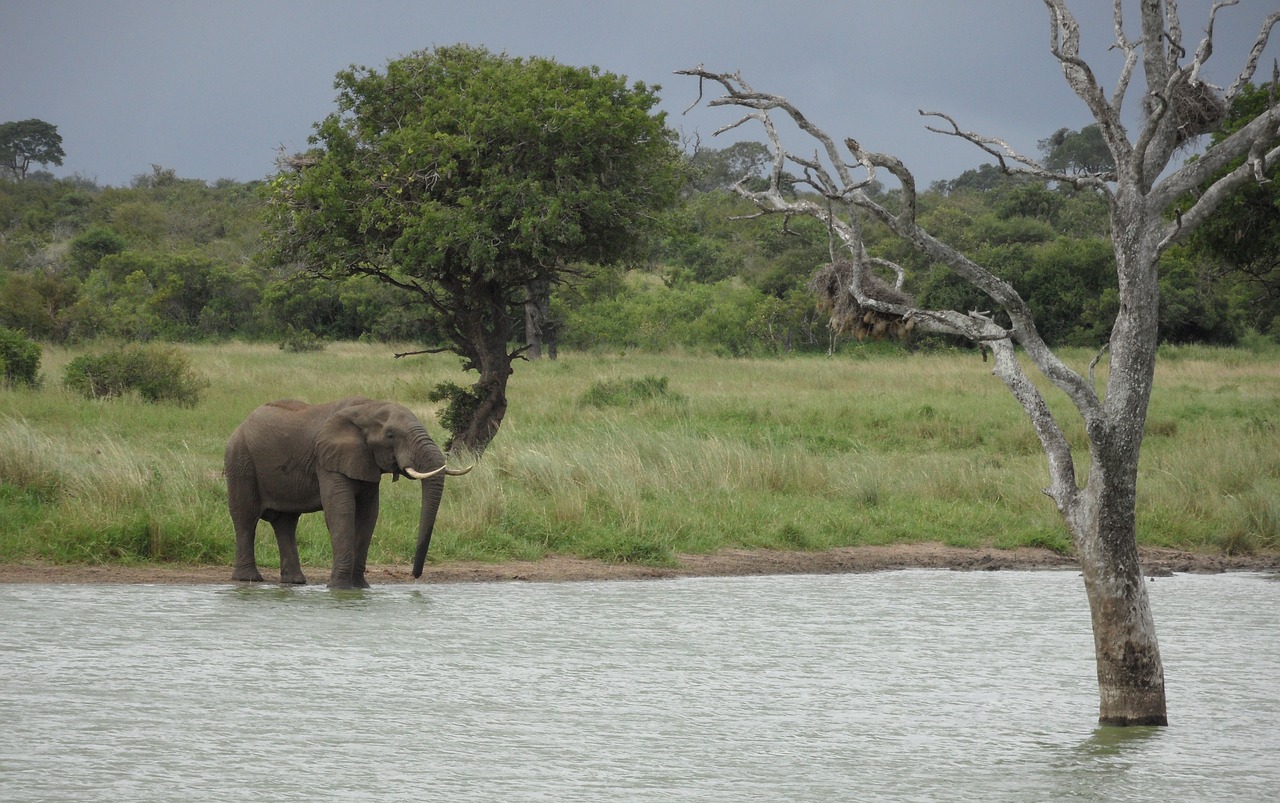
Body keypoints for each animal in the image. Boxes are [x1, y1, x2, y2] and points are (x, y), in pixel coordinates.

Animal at [225, 397, 471, 591]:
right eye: (390, 436)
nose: (415, 575)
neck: (367, 408)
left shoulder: (365, 461)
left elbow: (368, 515)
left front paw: (361, 588)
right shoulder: (327, 460)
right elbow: (341, 511)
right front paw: (339, 588)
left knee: (286, 523)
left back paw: (294, 582)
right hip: (240, 461)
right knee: (245, 518)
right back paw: (248, 579)